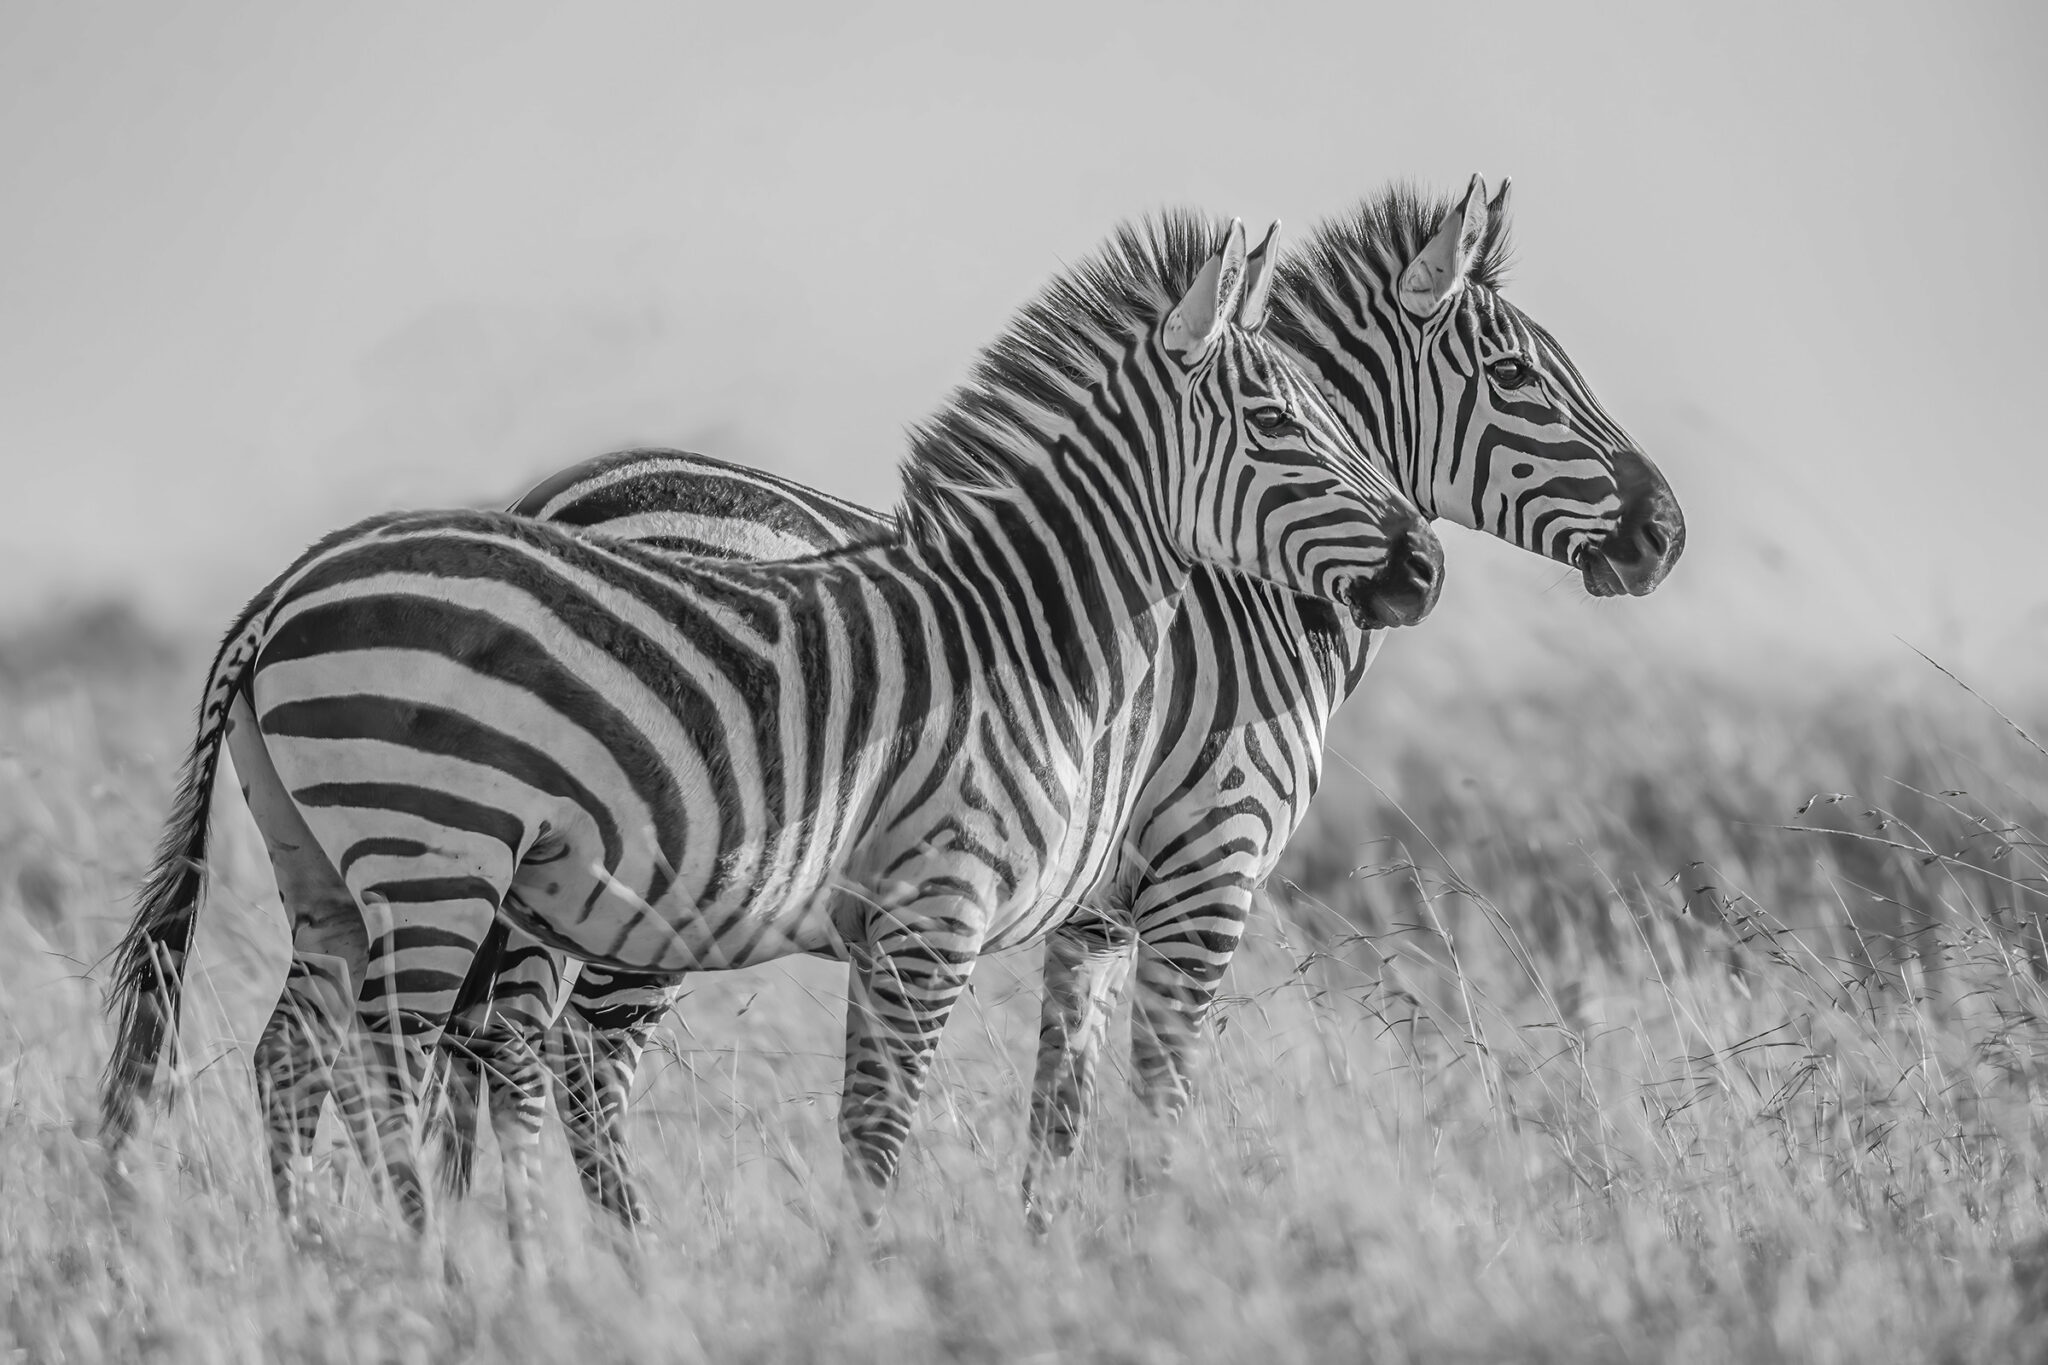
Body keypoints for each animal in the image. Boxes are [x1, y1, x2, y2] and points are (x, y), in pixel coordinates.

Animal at [97, 215, 1445, 1251]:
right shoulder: (938, 907)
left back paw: (326, 1267)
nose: (1422, 569)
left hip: (323, 863)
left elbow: (930, 1117)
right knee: (392, 1064)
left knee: (294, 1059)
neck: (1029, 629)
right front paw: (872, 1290)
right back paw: (439, 1276)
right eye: (1278, 428)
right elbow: (884, 1127)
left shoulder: (930, 922)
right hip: (439, 850)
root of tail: (288, 586)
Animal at [425, 176, 1685, 1233]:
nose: (1663, 536)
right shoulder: (1208, 871)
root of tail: (558, 499)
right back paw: (610, 1252)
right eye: (1516, 379)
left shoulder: (1096, 915)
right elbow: (1156, 1108)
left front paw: (1058, 1264)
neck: (1238, 593)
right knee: (552, 1058)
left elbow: (1060, 1119)